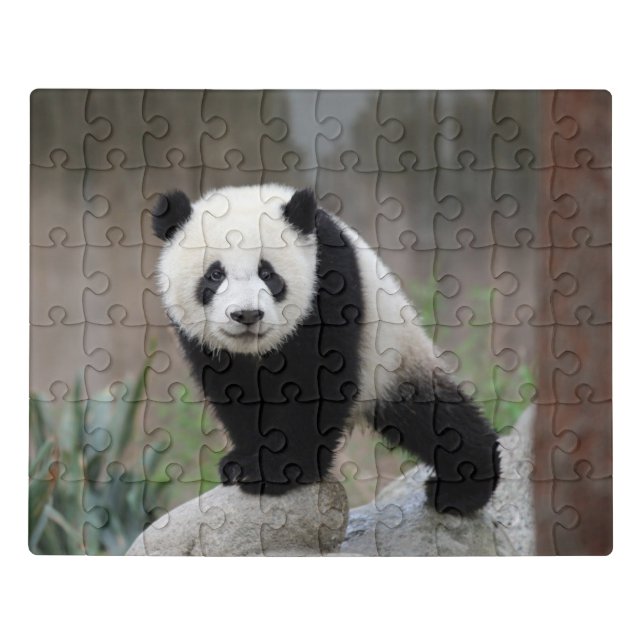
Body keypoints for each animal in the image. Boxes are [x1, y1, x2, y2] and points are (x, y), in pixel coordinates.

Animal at [152, 183, 500, 514]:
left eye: (268, 274)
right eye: (214, 275)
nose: (247, 315)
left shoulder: (330, 281)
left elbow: (317, 381)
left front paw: (278, 469)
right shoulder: (204, 341)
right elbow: (233, 391)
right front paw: (244, 461)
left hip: (394, 356)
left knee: (436, 418)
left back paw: (464, 487)